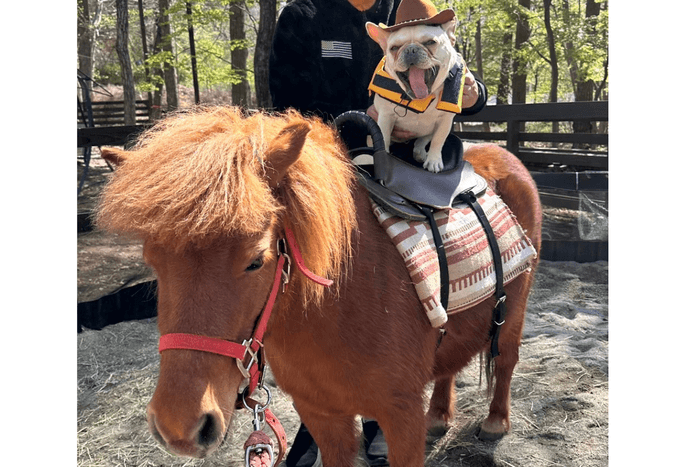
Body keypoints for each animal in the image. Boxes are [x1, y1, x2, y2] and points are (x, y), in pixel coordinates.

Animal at [96, 106, 542, 467]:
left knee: (506, 360)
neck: (338, 308)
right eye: (152, 261)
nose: (179, 425)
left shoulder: (401, 417)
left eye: (256, 260)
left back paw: (496, 421)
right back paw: (439, 416)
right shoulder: (321, 415)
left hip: (515, 311)